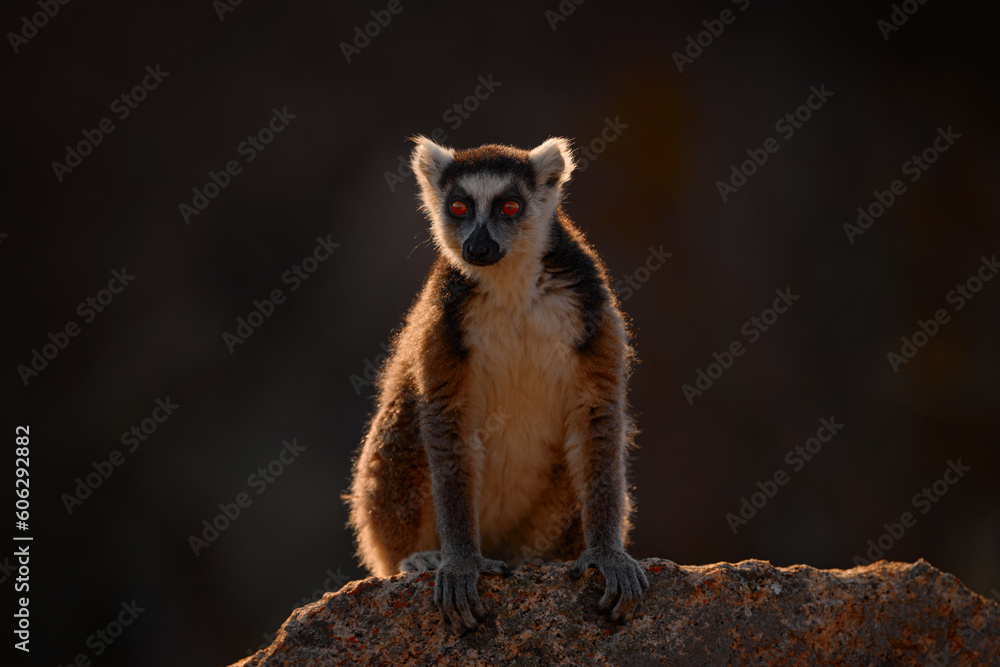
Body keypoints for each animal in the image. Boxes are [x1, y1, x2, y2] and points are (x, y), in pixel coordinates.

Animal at [345, 136, 648, 633]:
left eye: (510, 206)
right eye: (459, 207)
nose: (478, 247)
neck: (510, 286)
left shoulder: (590, 306)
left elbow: (598, 414)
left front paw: (607, 554)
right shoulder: (443, 318)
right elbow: (445, 417)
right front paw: (461, 562)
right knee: (404, 424)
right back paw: (417, 557)